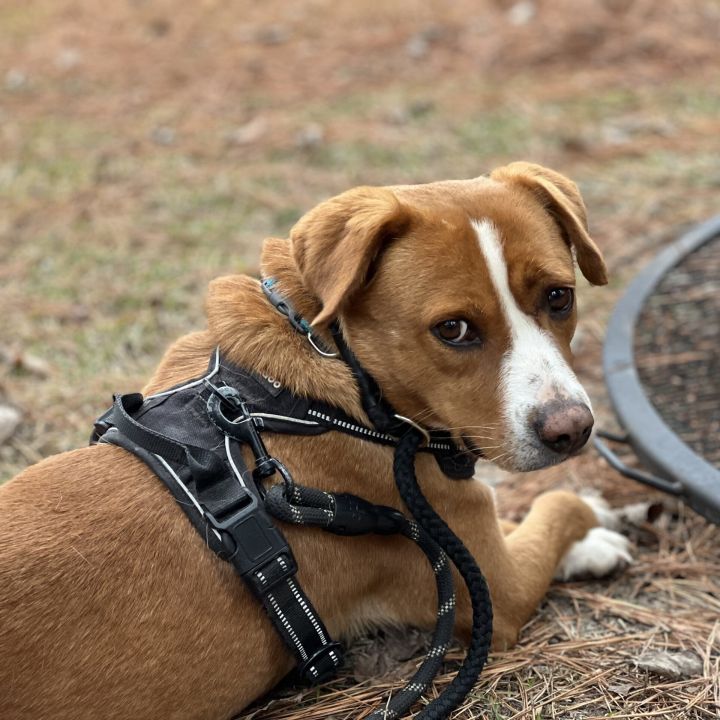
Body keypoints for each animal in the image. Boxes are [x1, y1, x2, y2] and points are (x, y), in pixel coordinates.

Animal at [0, 162, 632, 720]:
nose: (572, 429)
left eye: (559, 297)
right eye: (453, 329)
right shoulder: (497, 587)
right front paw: (593, 530)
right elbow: (556, 507)